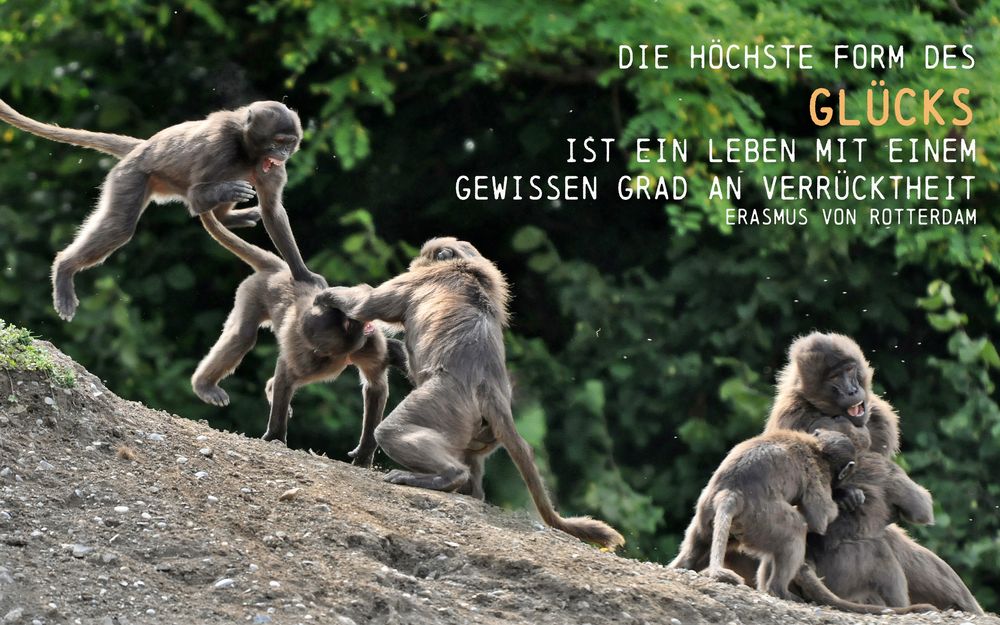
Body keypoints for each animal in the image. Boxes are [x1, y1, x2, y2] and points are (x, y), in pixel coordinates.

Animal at [0, 98, 326, 321]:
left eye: (289, 143)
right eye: (278, 141)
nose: (283, 153)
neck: (247, 150)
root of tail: (142, 147)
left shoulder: (271, 169)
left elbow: (272, 210)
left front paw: (303, 274)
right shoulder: (219, 145)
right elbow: (196, 199)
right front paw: (222, 193)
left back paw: (229, 217)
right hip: (133, 175)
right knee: (121, 226)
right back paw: (64, 269)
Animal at [189, 210, 406, 466]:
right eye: (349, 322)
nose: (363, 324)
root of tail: (280, 271)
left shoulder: (365, 346)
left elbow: (375, 386)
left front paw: (363, 455)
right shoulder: (318, 353)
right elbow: (288, 369)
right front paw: (275, 436)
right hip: (253, 292)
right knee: (244, 336)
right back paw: (205, 386)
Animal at [318, 237, 626, 550]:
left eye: (425, 258)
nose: (414, 263)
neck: (468, 268)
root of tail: (491, 392)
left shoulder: (420, 280)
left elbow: (363, 304)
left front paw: (327, 296)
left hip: (443, 403)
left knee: (393, 432)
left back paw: (445, 478)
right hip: (481, 432)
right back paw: (467, 491)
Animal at [765, 331, 983, 614]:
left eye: (849, 370)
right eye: (834, 377)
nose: (851, 390)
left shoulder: (876, 416)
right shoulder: (796, 419)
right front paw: (847, 495)